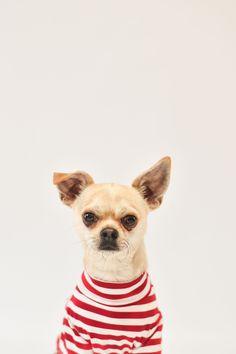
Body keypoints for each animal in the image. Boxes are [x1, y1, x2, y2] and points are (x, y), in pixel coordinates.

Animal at [53, 158, 171, 354]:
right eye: (88, 217)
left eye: (130, 219)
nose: (108, 232)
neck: (112, 276)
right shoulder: (76, 337)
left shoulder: (150, 339)